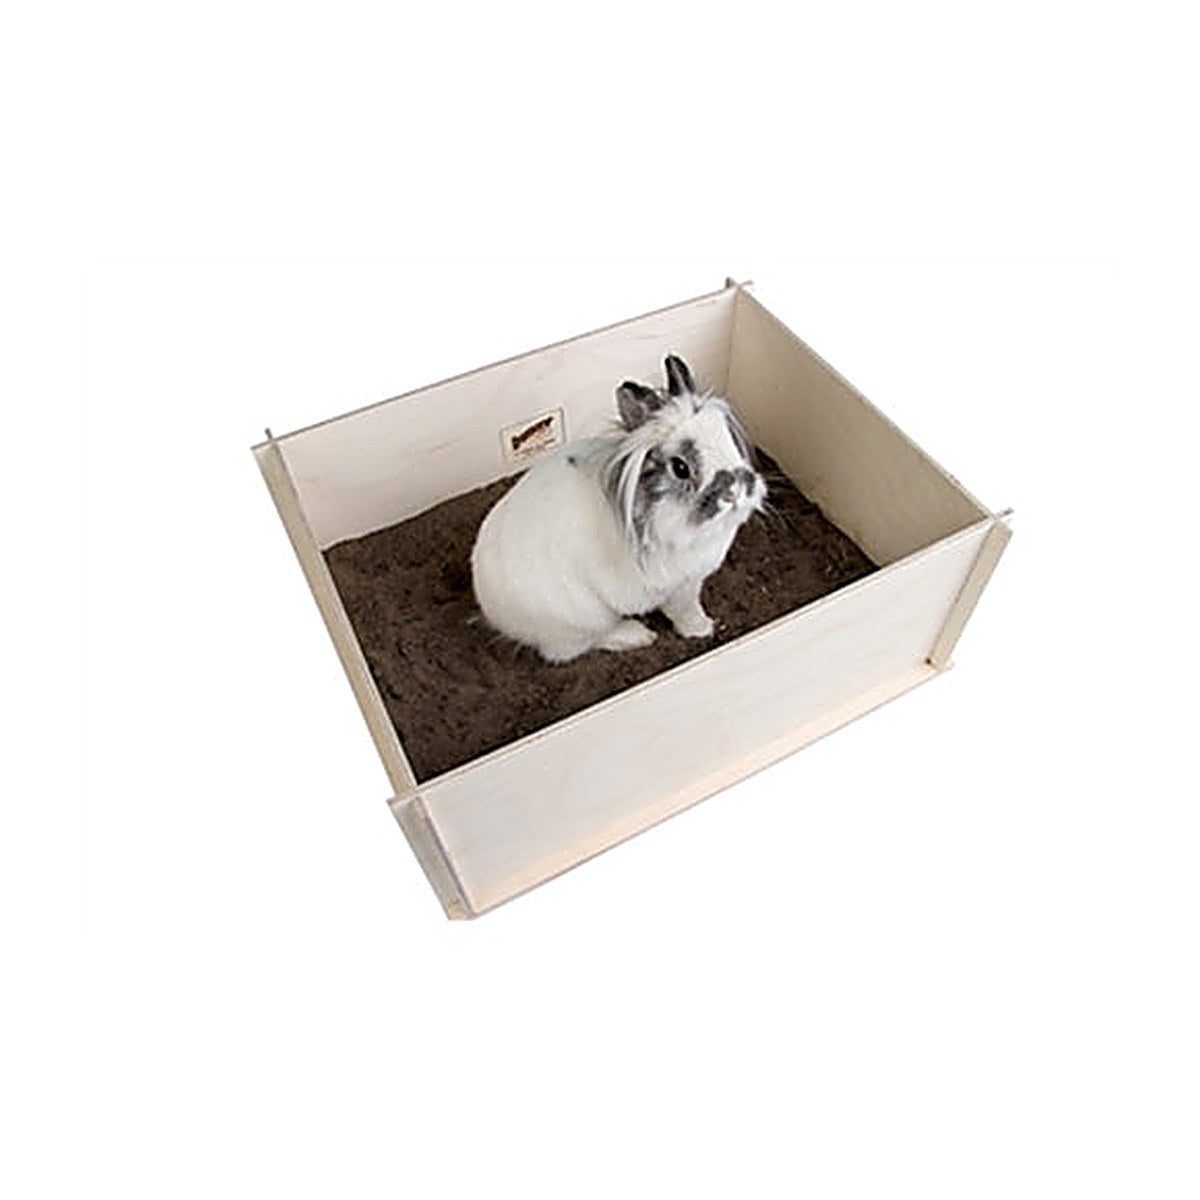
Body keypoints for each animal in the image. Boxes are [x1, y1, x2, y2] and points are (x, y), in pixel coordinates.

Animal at [471, 354, 766, 663]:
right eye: (680, 468)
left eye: (727, 438)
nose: (736, 491)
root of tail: (492, 608)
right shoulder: (678, 588)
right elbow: (684, 611)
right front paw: (701, 629)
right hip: (583, 621)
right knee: (576, 647)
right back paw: (636, 635)